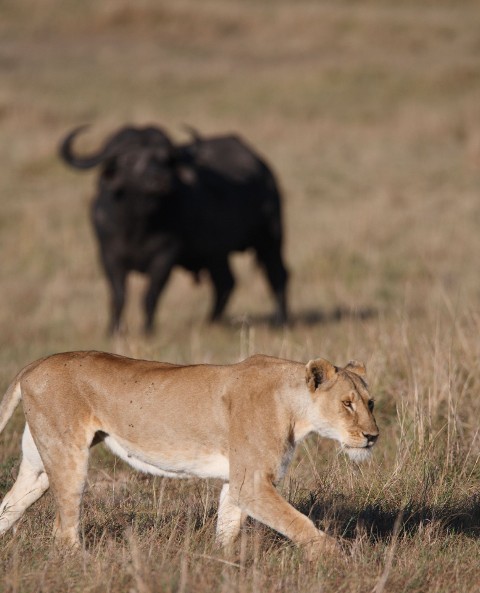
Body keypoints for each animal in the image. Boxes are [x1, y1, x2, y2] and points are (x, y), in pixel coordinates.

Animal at [62, 124, 290, 332]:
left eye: (165, 159)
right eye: (128, 159)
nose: (159, 180)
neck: (138, 226)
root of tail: (262, 167)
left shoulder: (165, 256)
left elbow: (150, 295)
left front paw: (147, 331)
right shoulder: (108, 255)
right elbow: (118, 296)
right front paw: (113, 331)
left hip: (270, 238)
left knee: (277, 274)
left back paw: (280, 320)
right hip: (216, 255)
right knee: (225, 282)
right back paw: (211, 321)